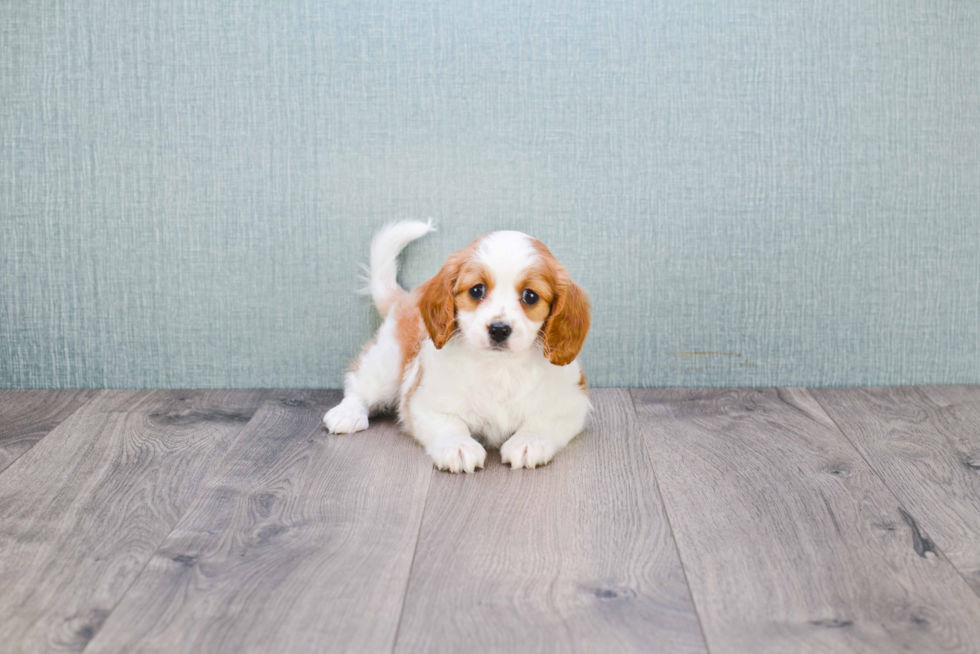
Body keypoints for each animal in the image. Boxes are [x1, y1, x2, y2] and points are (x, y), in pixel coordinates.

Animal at [326, 223, 592, 474]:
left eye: (530, 296)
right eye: (477, 290)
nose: (499, 329)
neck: (499, 367)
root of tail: (405, 298)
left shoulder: (571, 402)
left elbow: (542, 421)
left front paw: (529, 442)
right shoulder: (425, 402)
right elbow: (450, 423)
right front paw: (458, 446)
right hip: (387, 362)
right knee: (359, 386)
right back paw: (347, 413)